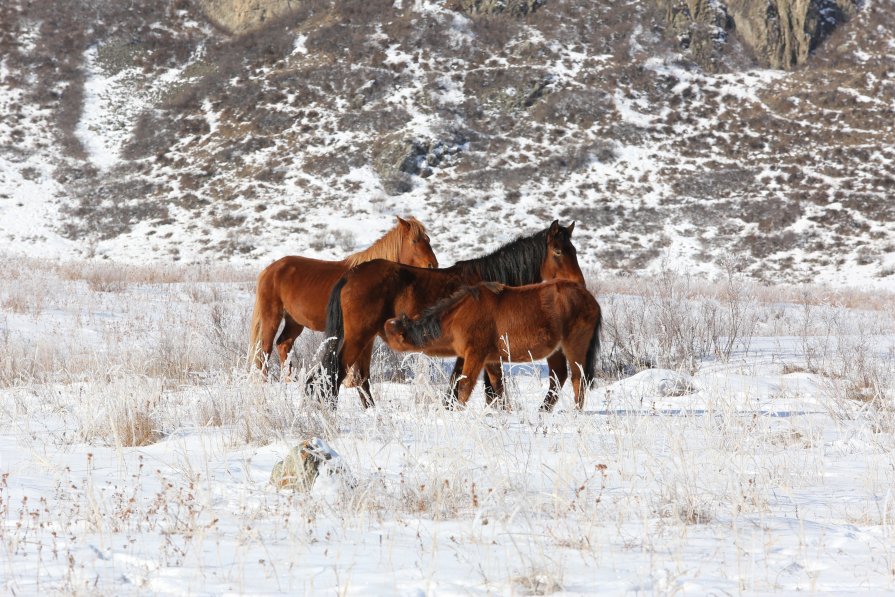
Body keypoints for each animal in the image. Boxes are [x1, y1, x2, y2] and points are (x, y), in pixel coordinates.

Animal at [382, 280, 600, 410]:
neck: (458, 315)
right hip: (555, 351)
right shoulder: (491, 359)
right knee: (558, 378)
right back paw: (543, 410)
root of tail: (589, 298)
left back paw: (576, 410)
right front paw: (506, 411)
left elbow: (465, 385)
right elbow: (498, 386)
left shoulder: (475, 354)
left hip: (574, 346)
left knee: (578, 378)